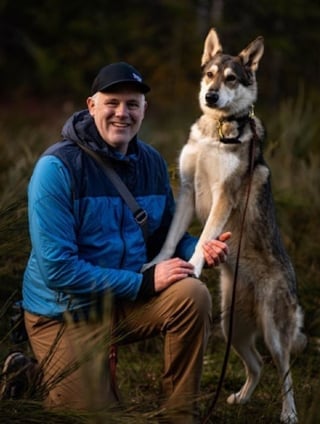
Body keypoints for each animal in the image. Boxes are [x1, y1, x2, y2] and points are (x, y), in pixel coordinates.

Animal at [144, 28, 306, 422]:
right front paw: (156, 264)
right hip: (231, 324)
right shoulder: (187, 191)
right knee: (257, 365)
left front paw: (191, 268)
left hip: (274, 332)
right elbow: (170, 239)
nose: (211, 96)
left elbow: (204, 240)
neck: (215, 130)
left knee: (284, 372)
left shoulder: (224, 197)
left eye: (231, 78)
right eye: (209, 75)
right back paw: (240, 399)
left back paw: (289, 414)